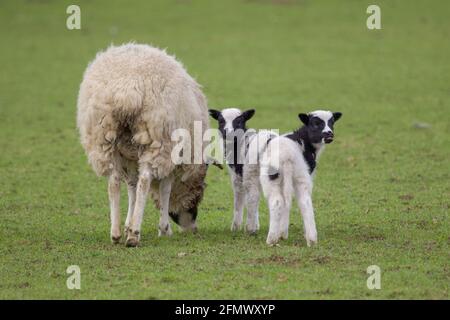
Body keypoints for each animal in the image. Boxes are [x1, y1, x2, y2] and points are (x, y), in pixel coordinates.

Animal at [76, 43, 212, 248]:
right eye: (198, 193)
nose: (192, 229)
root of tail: (127, 92)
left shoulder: (130, 157)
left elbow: (131, 186)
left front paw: (127, 224)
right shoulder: (172, 158)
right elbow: (165, 189)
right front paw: (163, 229)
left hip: (104, 139)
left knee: (114, 182)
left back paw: (116, 233)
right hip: (158, 139)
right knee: (145, 181)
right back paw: (134, 236)